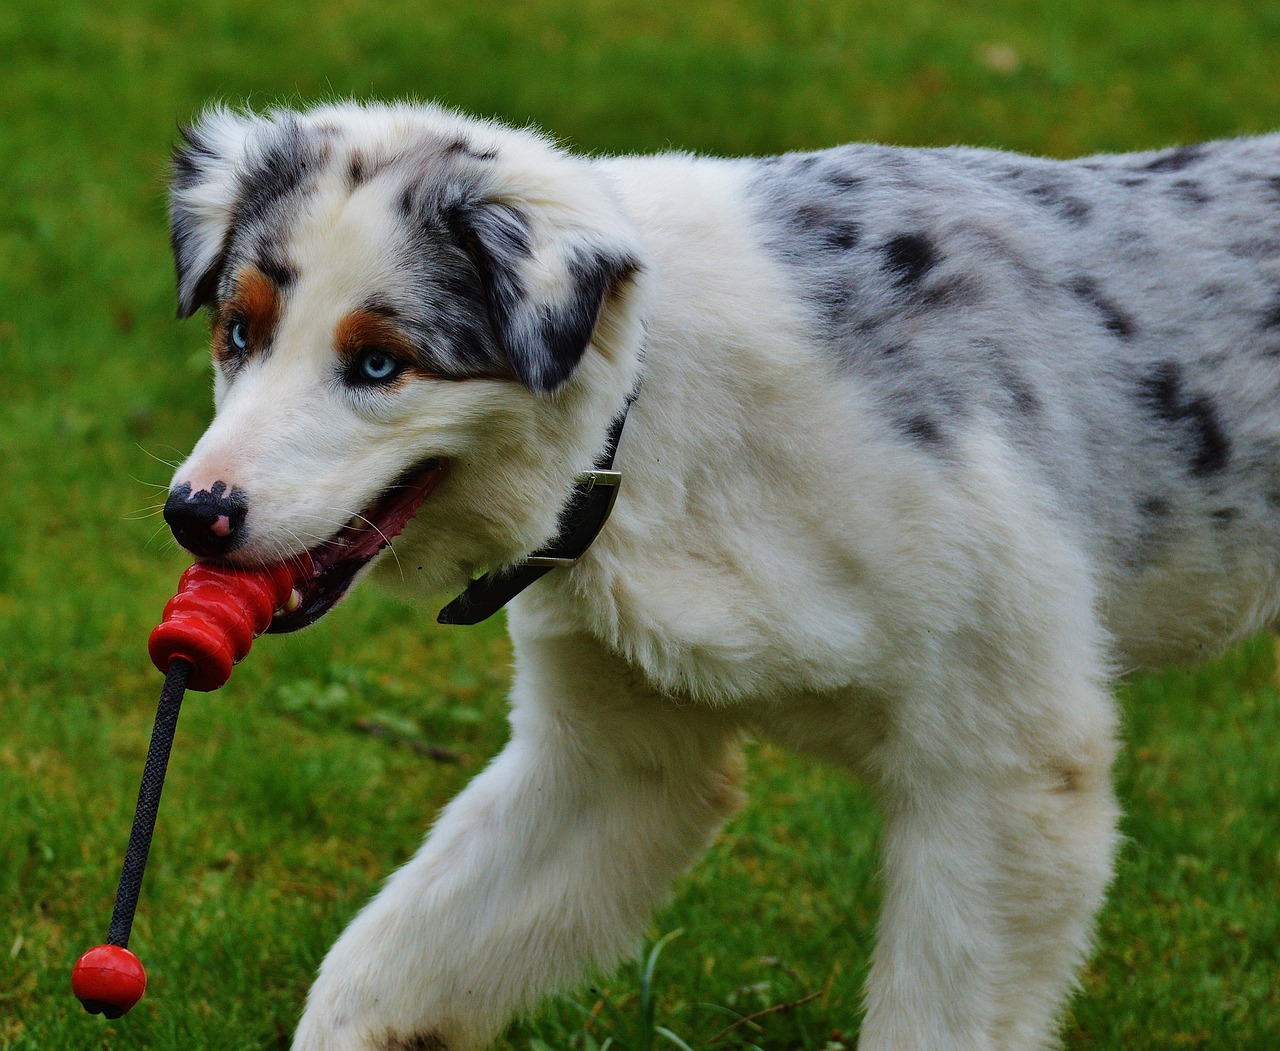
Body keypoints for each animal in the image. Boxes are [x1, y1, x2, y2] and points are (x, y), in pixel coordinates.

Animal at [160, 100, 1280, 1049]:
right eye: (238, 332)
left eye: (380, 364)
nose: (195, 514)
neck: (655, 403)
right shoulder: (612, 761)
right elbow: (374, 974)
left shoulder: (1008, 768)